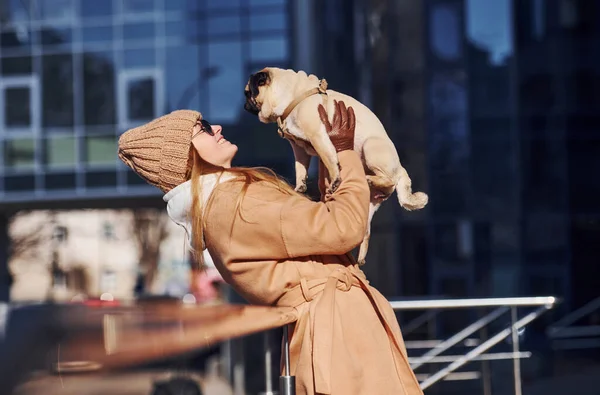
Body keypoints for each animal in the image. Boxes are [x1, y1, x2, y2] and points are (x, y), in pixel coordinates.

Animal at [244, 67, 426, 266]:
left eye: (248, 92)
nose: (245, 106)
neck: (292, 94)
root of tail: (401, 169)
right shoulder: (299, 150)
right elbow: (300, 169)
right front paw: (300, 187)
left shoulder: (318, 136)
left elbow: (330, 160)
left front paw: (334, 180)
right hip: (369, 204)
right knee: (366, 232)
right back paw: (360, 258)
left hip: (370, 148)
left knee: (389, 179)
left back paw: (369, 178)